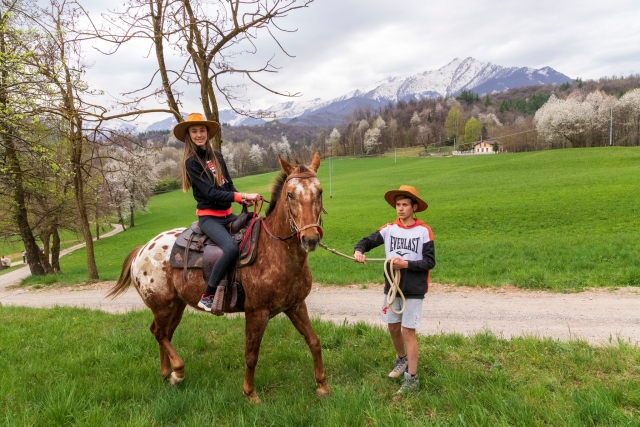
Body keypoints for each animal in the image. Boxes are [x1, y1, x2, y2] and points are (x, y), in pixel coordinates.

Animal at [108, 153, 330, 403]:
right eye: (290, 194)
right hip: (162, 306)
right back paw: (178, 371)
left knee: (164, 333)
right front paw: (250, 394)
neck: (274, 250)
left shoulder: (295, 305)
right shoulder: (257, 313)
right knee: (159, 333)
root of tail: (143, 249)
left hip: (176, 306)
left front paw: (322, 387)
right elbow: (251, 355)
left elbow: (314, 342)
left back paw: (167, 373)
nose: (310, 239)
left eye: (320, 191)